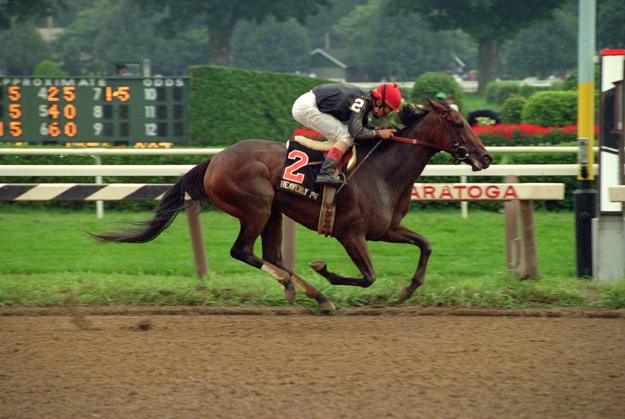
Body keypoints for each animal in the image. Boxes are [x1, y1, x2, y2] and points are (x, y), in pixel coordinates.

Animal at [90, 100, 494, 310]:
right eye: (459, 123)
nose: (486, 157)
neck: (382, 170)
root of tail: (215, 159)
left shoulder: (386, 230)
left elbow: (425, 245)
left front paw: (409, 290)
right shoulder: (351, 234)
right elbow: (367, 277)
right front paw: (324, 269)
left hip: (272, 212)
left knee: (272, 255)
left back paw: (310, 293)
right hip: (256, 207)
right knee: (244, 252)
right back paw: (309, 290)